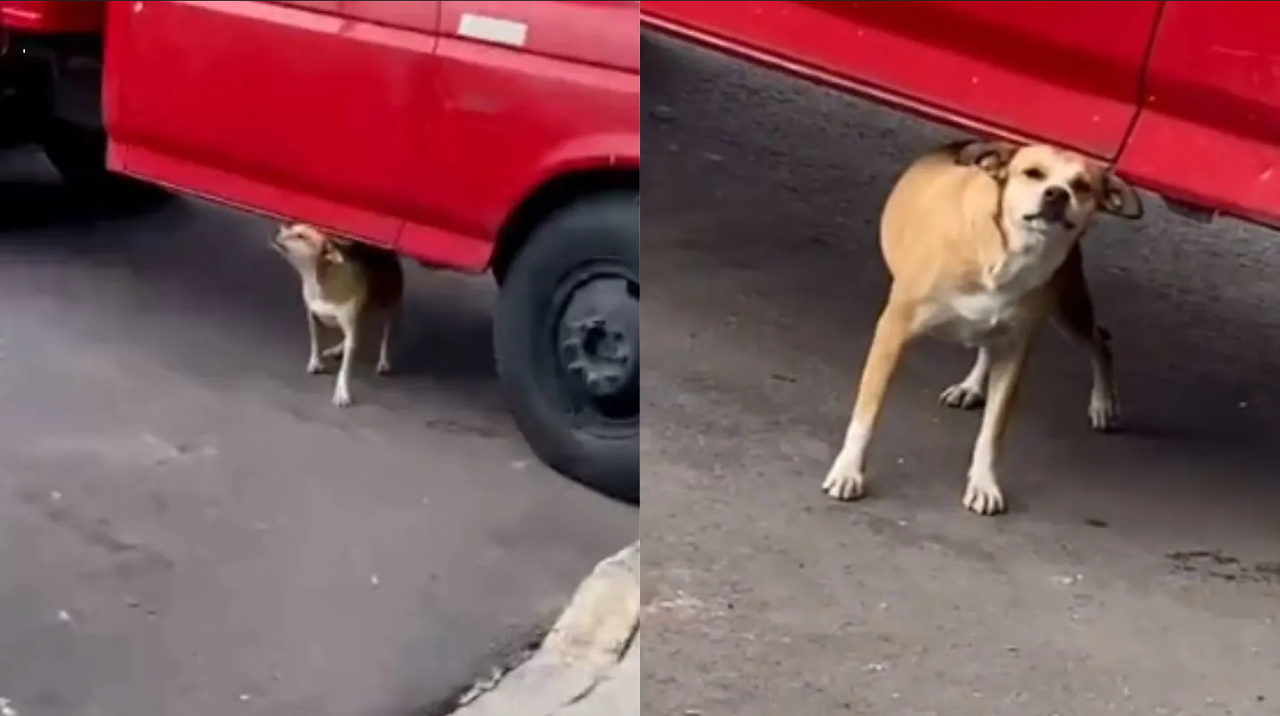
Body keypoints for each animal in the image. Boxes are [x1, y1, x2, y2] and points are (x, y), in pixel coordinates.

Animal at [270, 221, 404, 407]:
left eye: (301, 236)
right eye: (289, 228)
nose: (278, 229)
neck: (318, 281)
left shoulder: (350, 322)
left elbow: (345, 369)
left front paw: (342, 392)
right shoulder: (313, 316)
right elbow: (316, 342)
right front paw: (315, 361)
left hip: (388, 306)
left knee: (384, 336)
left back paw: (383, 361)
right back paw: (338, 349)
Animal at [824, 138, 1146, 514]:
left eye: (1082, 186)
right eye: (1032, 173)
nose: (1056, 194)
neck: (1007, 255)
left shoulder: (1014, 353)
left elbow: (992, 432)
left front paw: (983, 482)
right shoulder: (893, 332)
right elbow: (867, 413)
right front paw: (848, 470)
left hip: (1066, 308)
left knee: (1099, 340)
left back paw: (1102, 403)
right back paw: (972, 386)